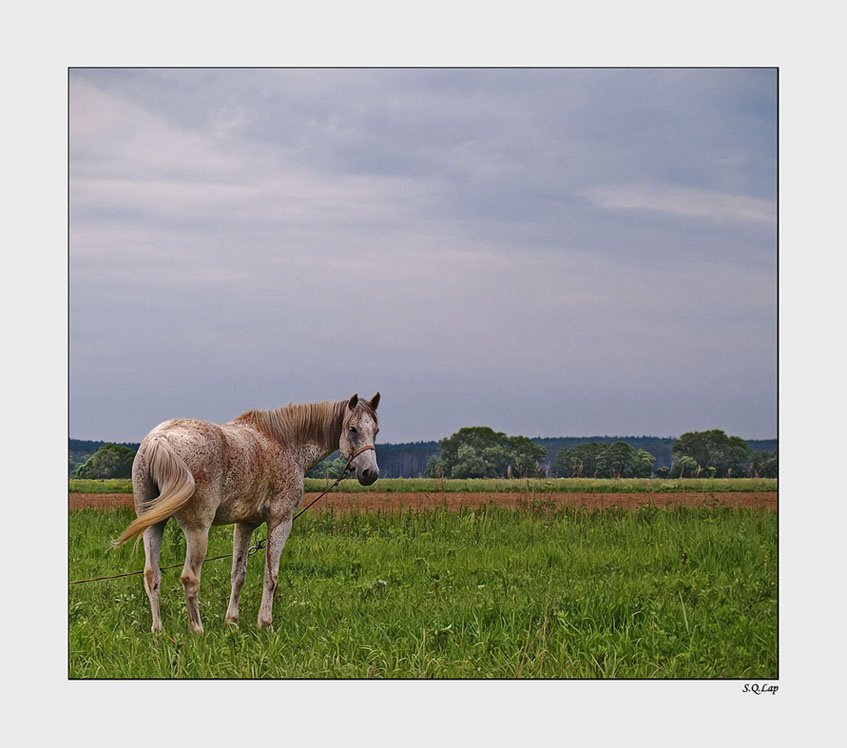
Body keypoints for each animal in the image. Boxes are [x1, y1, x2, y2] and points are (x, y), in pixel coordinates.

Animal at [114, 393, 380, 634]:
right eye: (353, 429)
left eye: (376, 430)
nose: (370, 473)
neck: (285, 443)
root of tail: (158, 440)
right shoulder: (280, 521)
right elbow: (271, 575)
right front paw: (266, 624)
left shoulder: (245, 524)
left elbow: (238, 574)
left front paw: (232, 621)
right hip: (197, 530)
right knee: (190, 578)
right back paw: (197, 630)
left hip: (153, 525)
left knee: (152, 575)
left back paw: (158, 630)